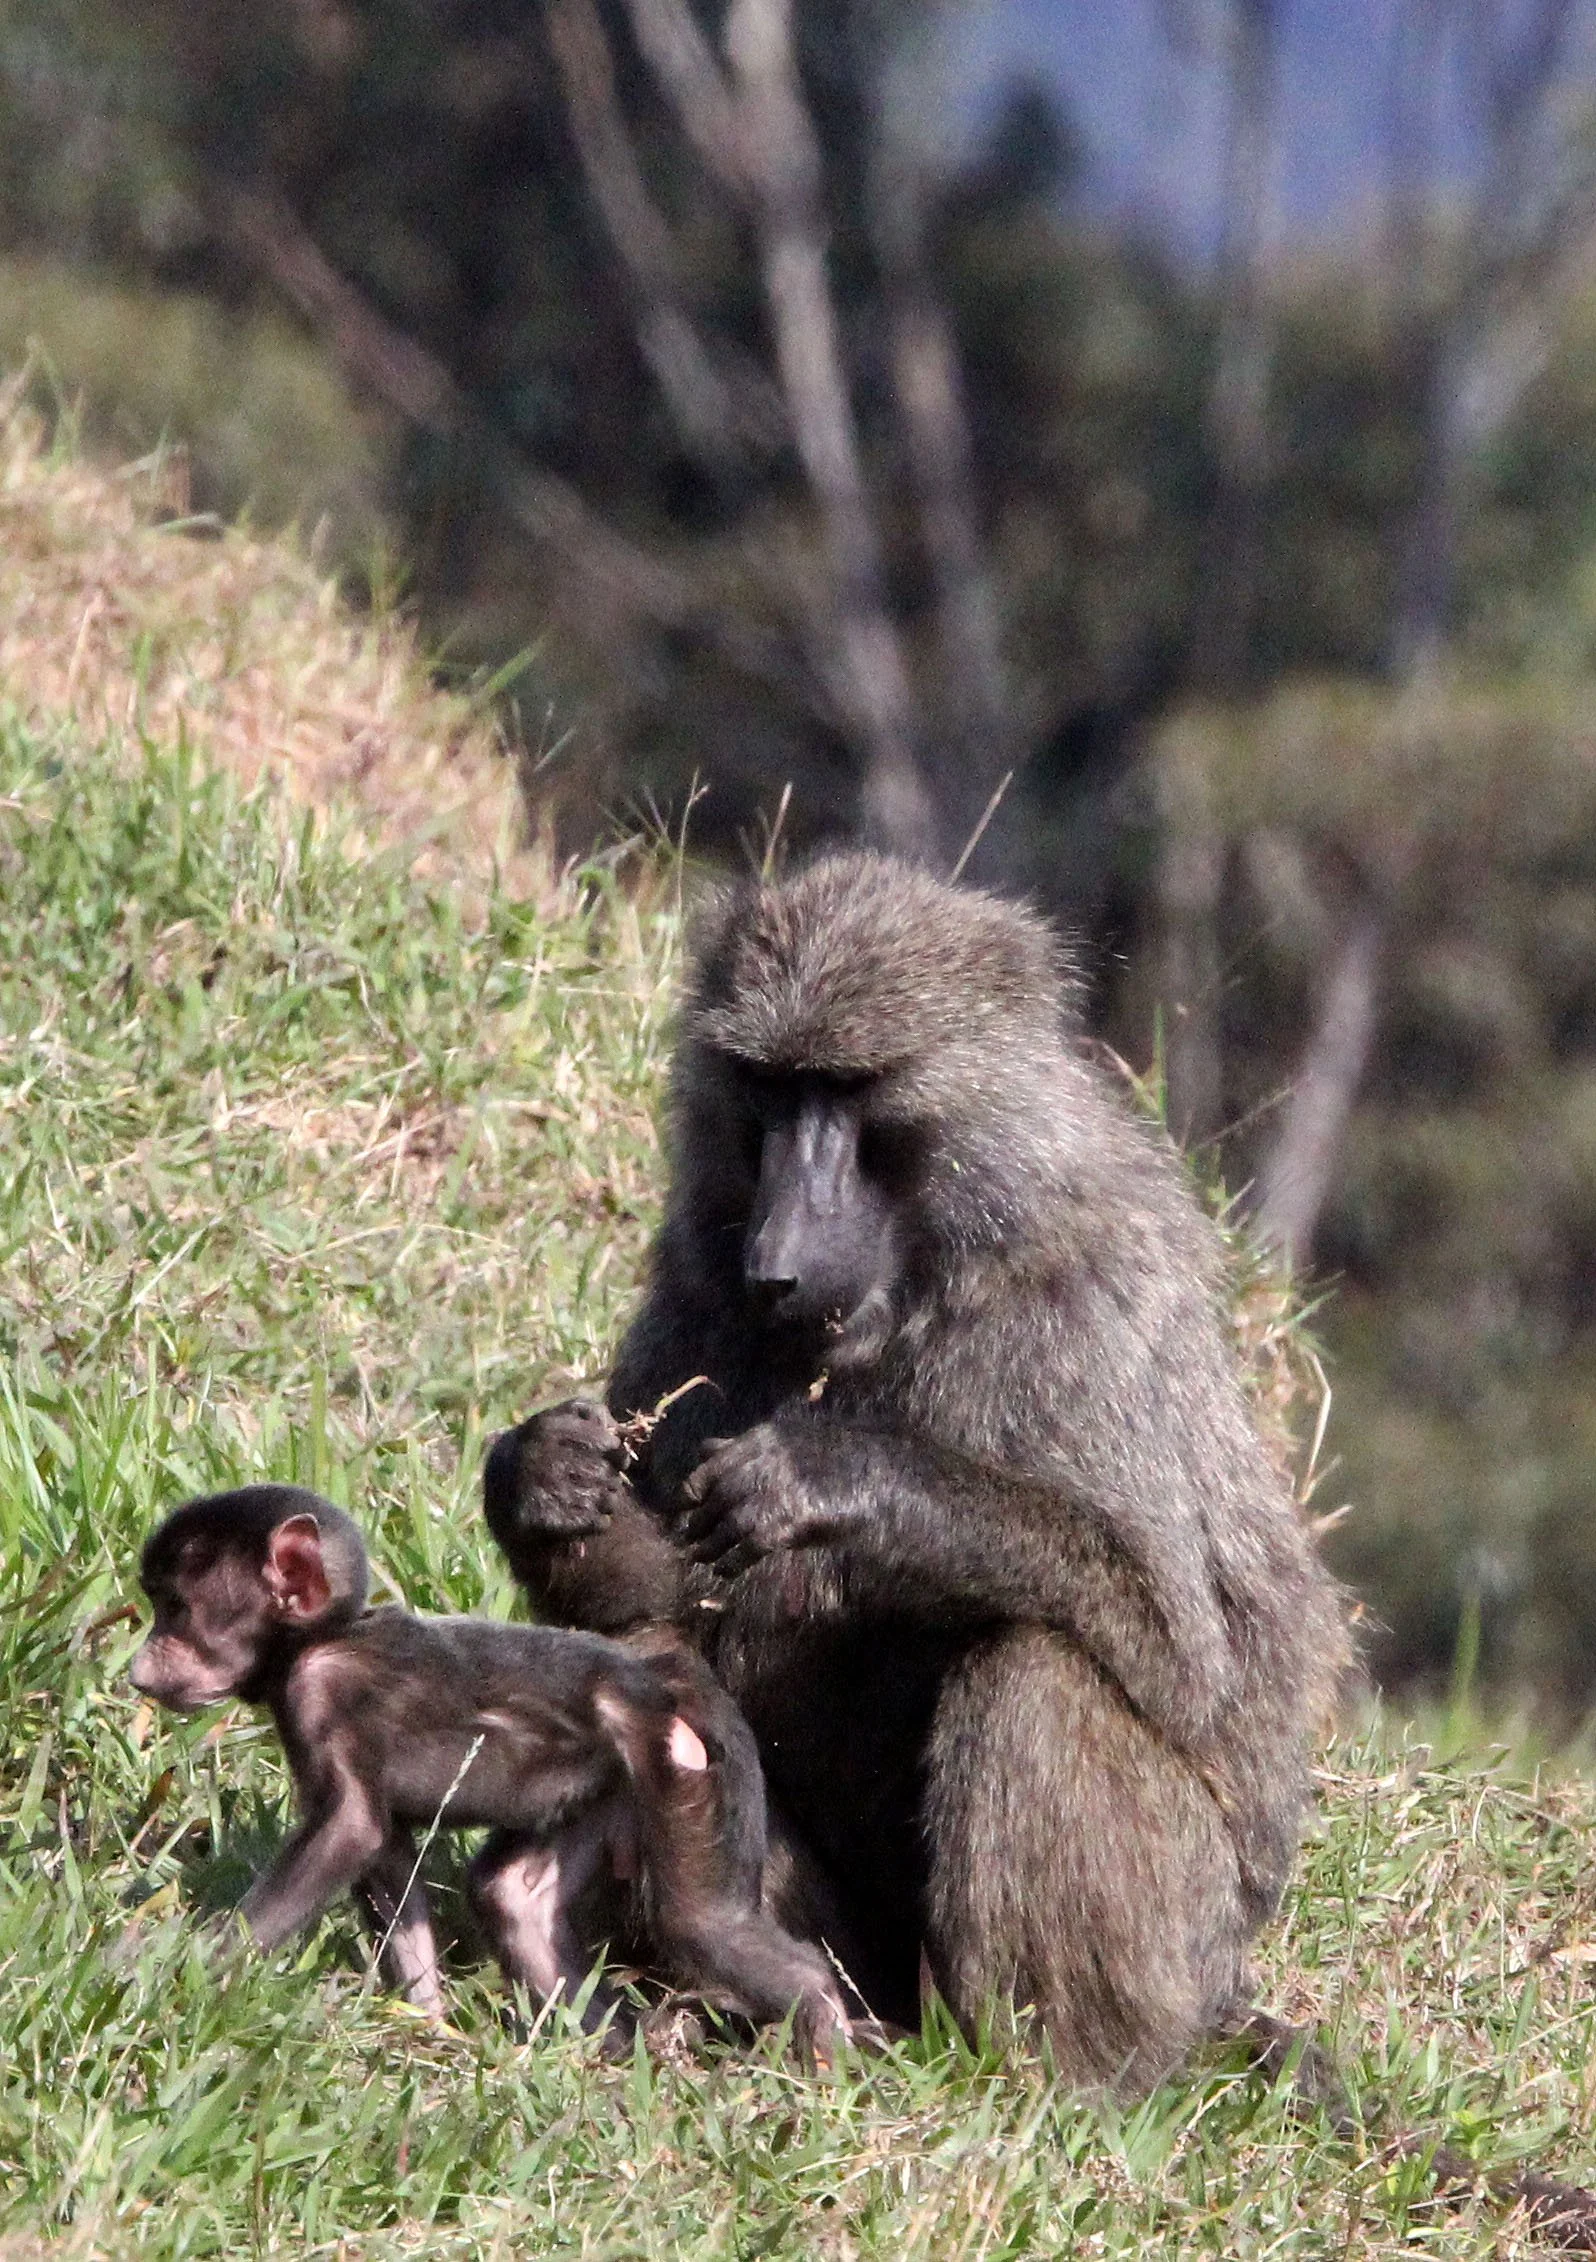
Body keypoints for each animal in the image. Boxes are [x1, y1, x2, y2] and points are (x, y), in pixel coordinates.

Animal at [128, 1483, 849, 2053]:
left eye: (177, 1611)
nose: (138, 1670)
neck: (324, 1638)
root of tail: (663, 1686)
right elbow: (388, 1855)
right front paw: (426, 2021)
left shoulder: (322, 1688)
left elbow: (351, 1829)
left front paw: (185, 1972)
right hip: (608, 1785)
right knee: (513, 1900)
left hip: (674, 1766)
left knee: (701, 1924)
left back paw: (821, 2027)